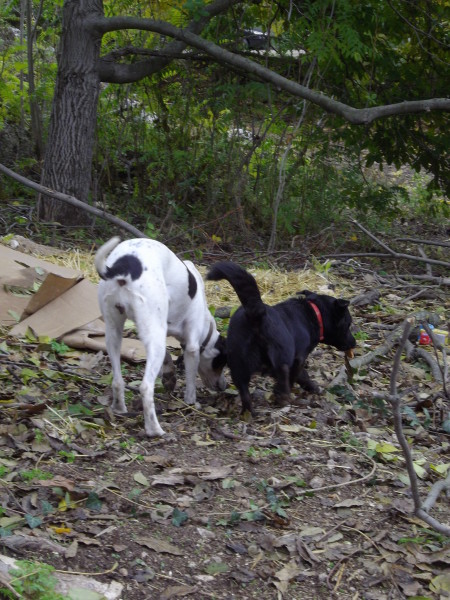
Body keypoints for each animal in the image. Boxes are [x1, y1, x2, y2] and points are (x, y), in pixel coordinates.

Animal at [95, 237, 227, 437]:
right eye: (221, 364)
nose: (224, 386)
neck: (207, 325)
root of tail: (123, 267)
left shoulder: (161, 334)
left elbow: (167, 359)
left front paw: (169, 378)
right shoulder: (192, 346)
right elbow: (190, 381)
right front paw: (190, 402)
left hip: (114, 332)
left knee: (117, 380)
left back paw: (119, 408)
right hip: (152, 334)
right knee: (145, 387)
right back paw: (154, 429)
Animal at [207, 261, 356, 415]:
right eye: (348, 324)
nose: (354, 342)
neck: (314, 313)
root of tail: (256, 312)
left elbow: (302, 376)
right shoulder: (299, 357)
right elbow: (298, 375)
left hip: (238, 363)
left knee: (244, 391)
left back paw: (249, 412)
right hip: (282, 350)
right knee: (283, 370)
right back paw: (282, 396)